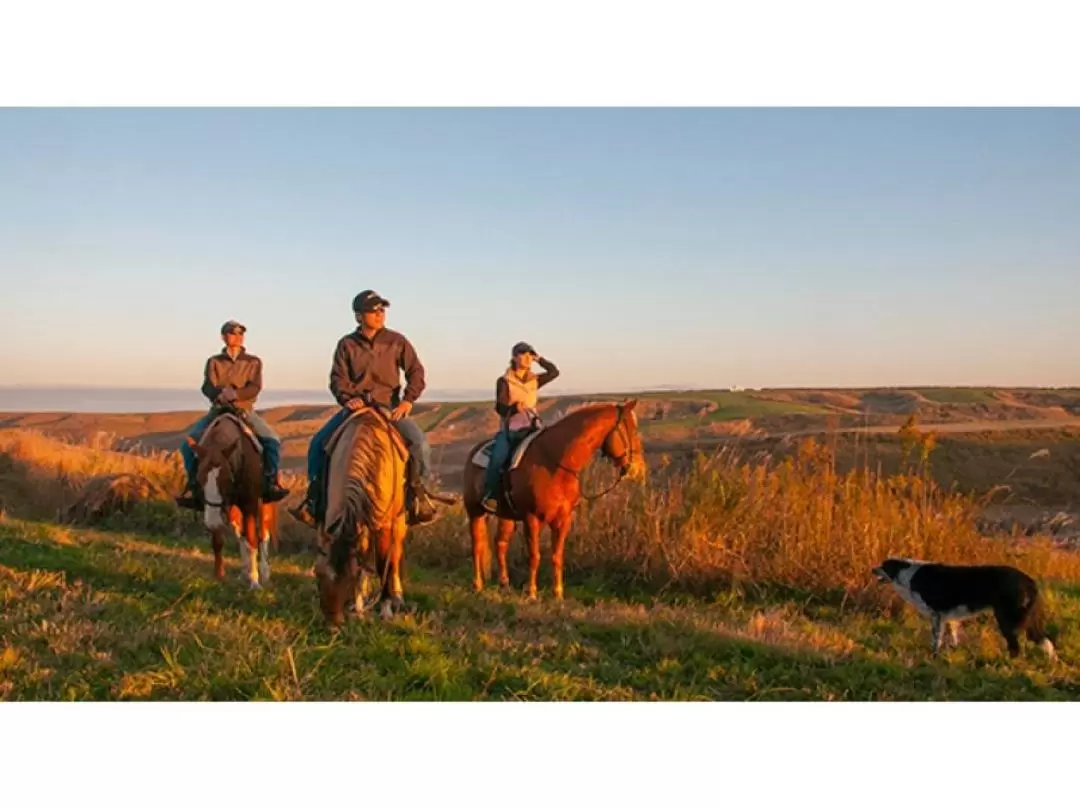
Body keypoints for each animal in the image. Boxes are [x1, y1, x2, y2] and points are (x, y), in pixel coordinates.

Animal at [186, 412, 278, 592]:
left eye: (226, 479)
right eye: (198, 479)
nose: (213, 522)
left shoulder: (250, 506)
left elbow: (252, 539)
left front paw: (255, 582)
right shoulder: (217, 509)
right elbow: (219, 541)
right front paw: (219, 575)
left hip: (265, 504)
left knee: (263, 534)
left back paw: (264, 573)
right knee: (240, 534)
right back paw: (244, 572)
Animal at [315, 406, 412, 626]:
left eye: (348, 579)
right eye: (318, 576)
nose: (332, 626)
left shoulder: (385, 525)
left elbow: (383, 562)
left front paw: (385, 609)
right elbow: (363, 558)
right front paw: (358, 607)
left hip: (399, 521)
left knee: (396, 554)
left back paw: (398, 597)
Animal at [460, 399, 643, 600]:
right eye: (633, 431)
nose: (639, 470)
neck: (556, 464)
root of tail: (474, 451)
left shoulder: (563, 520)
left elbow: (557, 555)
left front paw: (558, 593)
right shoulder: (532, 519)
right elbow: (535, 556)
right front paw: (532, 592)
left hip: (506, 515)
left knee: (500, 544)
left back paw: (504, 584)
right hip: (474, 510)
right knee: (477, 545)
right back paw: (477, 585)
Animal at [872, 557, 1058, 661]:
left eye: (883, 565)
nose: (872, 569)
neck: (908, 575)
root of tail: (1029, 581)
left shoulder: (936, 615)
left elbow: (936, 639)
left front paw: (934, 656)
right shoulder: (948, 616)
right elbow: (952, 634)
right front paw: (952, 650)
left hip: (1007, 619)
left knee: (1016, 647)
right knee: (1044, 641)